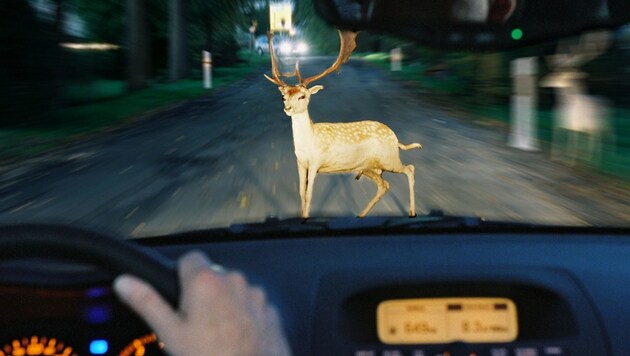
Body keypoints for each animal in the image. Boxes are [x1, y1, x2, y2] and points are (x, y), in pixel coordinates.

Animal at [264, 29, 422, 220]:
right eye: (283, 96)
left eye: (302, 96)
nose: (288, 108)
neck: (309, 144)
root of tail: (395, 138)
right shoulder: (301, 163)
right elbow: (301, 193)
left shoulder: (316, 162)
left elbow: (309, 195)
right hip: (369, 167)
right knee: (385, 184)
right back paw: (361, 215)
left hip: (389, 159)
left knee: (410, 169)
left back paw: (412, 212)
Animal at [540, 31, 616, 165]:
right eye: (552, 70)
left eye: (559, 74)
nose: (542, 81)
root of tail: (608, 100)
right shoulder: (557, 123)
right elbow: (557, 137)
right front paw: (555, 156)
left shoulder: (575, 126)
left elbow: (573, 141)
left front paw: (570, 160)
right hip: (594, 126)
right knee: (595, 138)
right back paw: (590, 157)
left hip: (604, 123)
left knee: (608, 135)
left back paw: (605, 157)